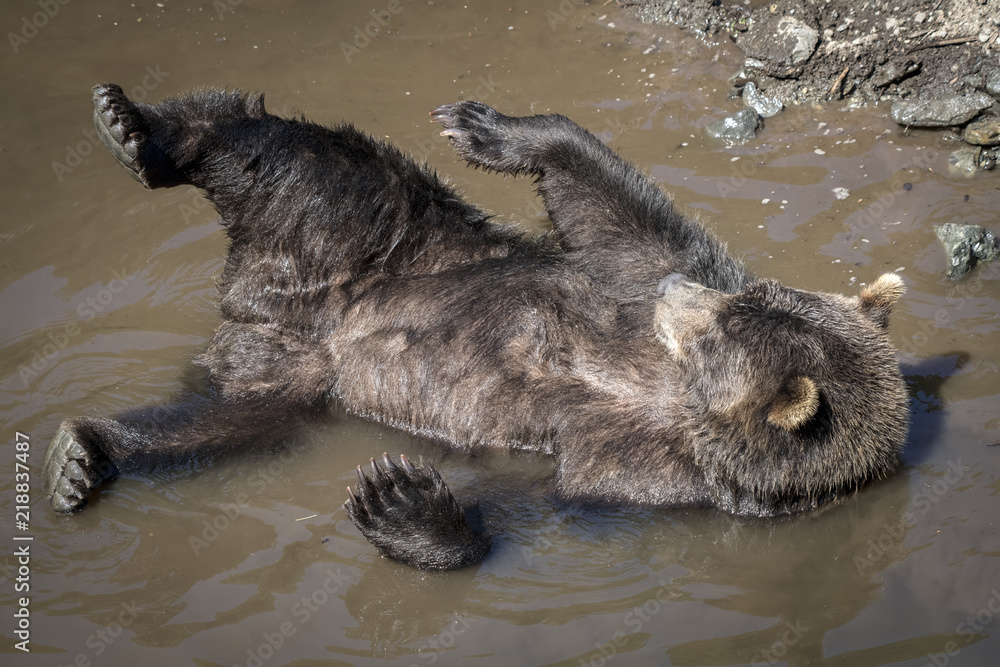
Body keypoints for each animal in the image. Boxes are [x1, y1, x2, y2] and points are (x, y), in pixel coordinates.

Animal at [42, 83, 909, 571]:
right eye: (739, 303)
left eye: (719, 333)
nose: (677, 294)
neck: (663, 391)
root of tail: (261, 315)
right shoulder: (633, 282)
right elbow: (616, 217)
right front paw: (488, 127)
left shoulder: (647, 474)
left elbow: (529, 506)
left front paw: (401, 501)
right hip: (393, 246)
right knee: (313, 163)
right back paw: (136, 128)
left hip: (287, 362)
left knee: (221, 420)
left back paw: (87, 453)